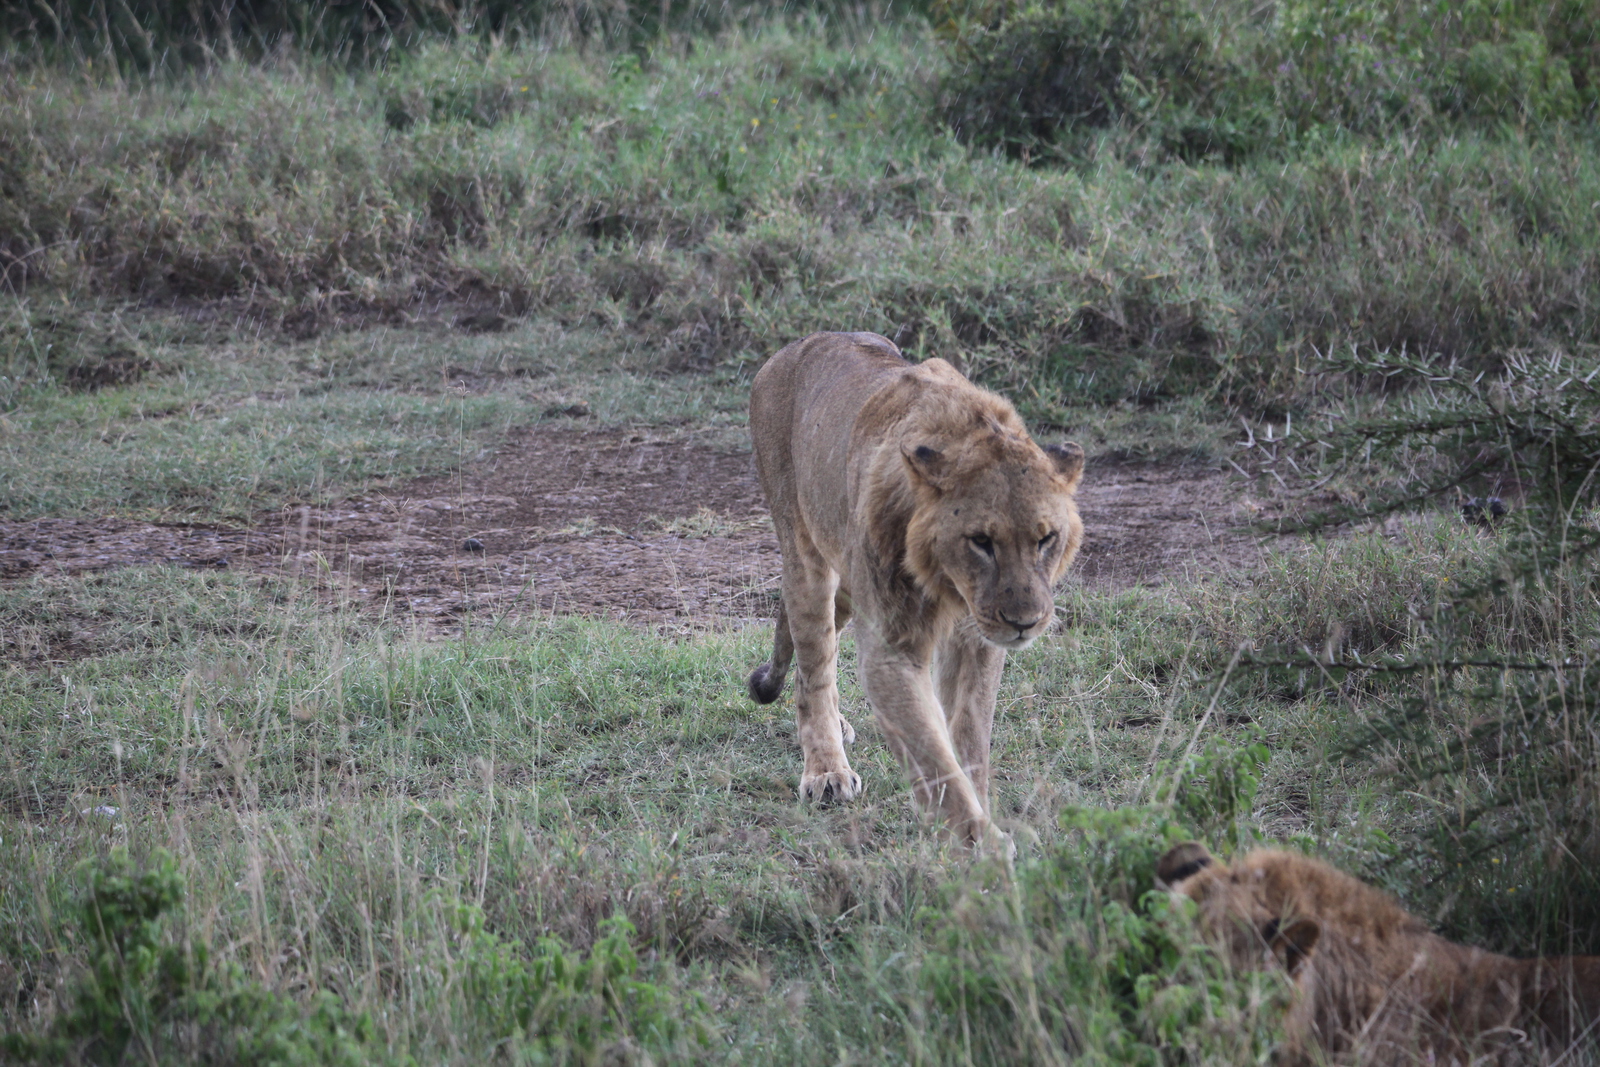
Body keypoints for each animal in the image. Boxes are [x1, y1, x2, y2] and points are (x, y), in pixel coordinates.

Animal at [742, 334, 1081, 851]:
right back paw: (826, 770)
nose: (1025, 622)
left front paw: (978, 816)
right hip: (806, 555)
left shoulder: (977, 639)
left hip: (848, 582)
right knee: (814, 663)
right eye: (981, 541)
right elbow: (933, 755)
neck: (949, 584)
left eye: (1046, 539)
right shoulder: (892, 650)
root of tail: (797, 345)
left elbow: (969, 737)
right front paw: (982, 845)